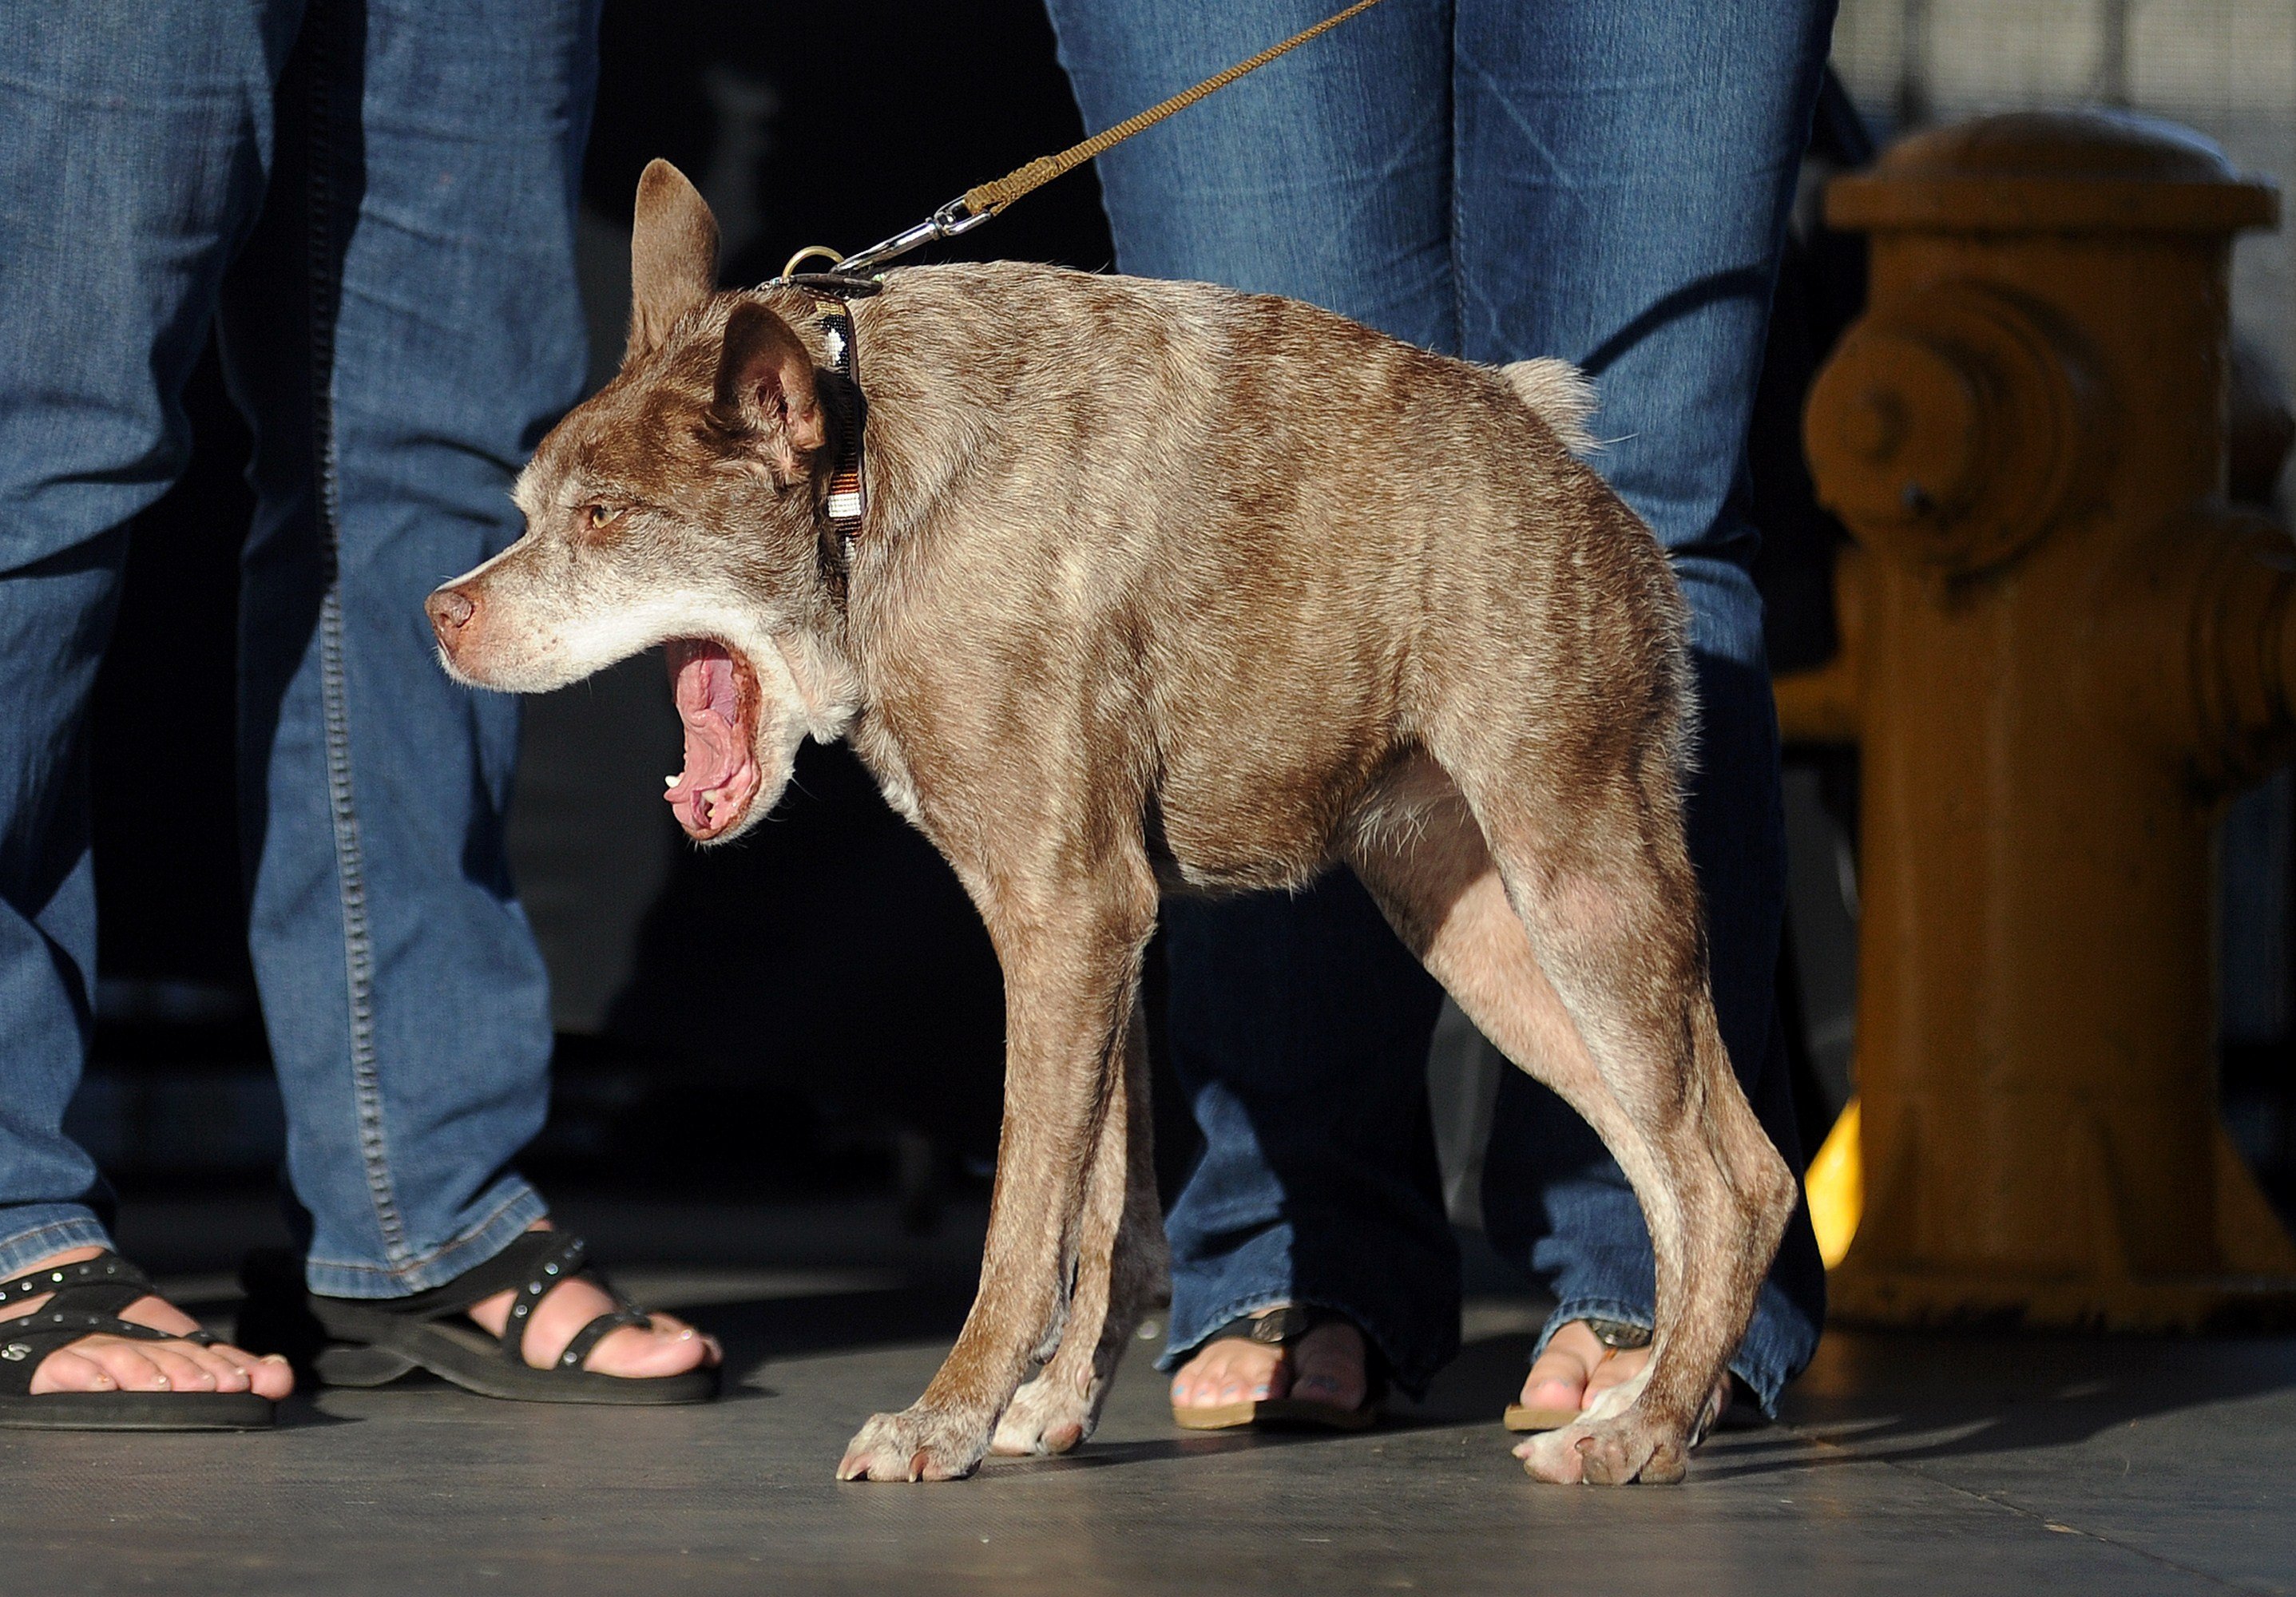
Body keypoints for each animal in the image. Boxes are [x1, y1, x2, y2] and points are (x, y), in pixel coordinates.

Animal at [426, 161, 1790, 1487]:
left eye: (602, 519)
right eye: (531, 509)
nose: (441, 614)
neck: (865, 488)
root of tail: (1563, 457)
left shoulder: (1065, 917)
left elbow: (1021, 1223)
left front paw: (943, 1422)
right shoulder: (1097, 932)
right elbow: (1106, 1211)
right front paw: (1049, 1406)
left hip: (1578, 886)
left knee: (1735, 1183)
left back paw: (1641, 1431)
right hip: (1483, 937)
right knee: (1680, 1171)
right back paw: (1644, 1395)